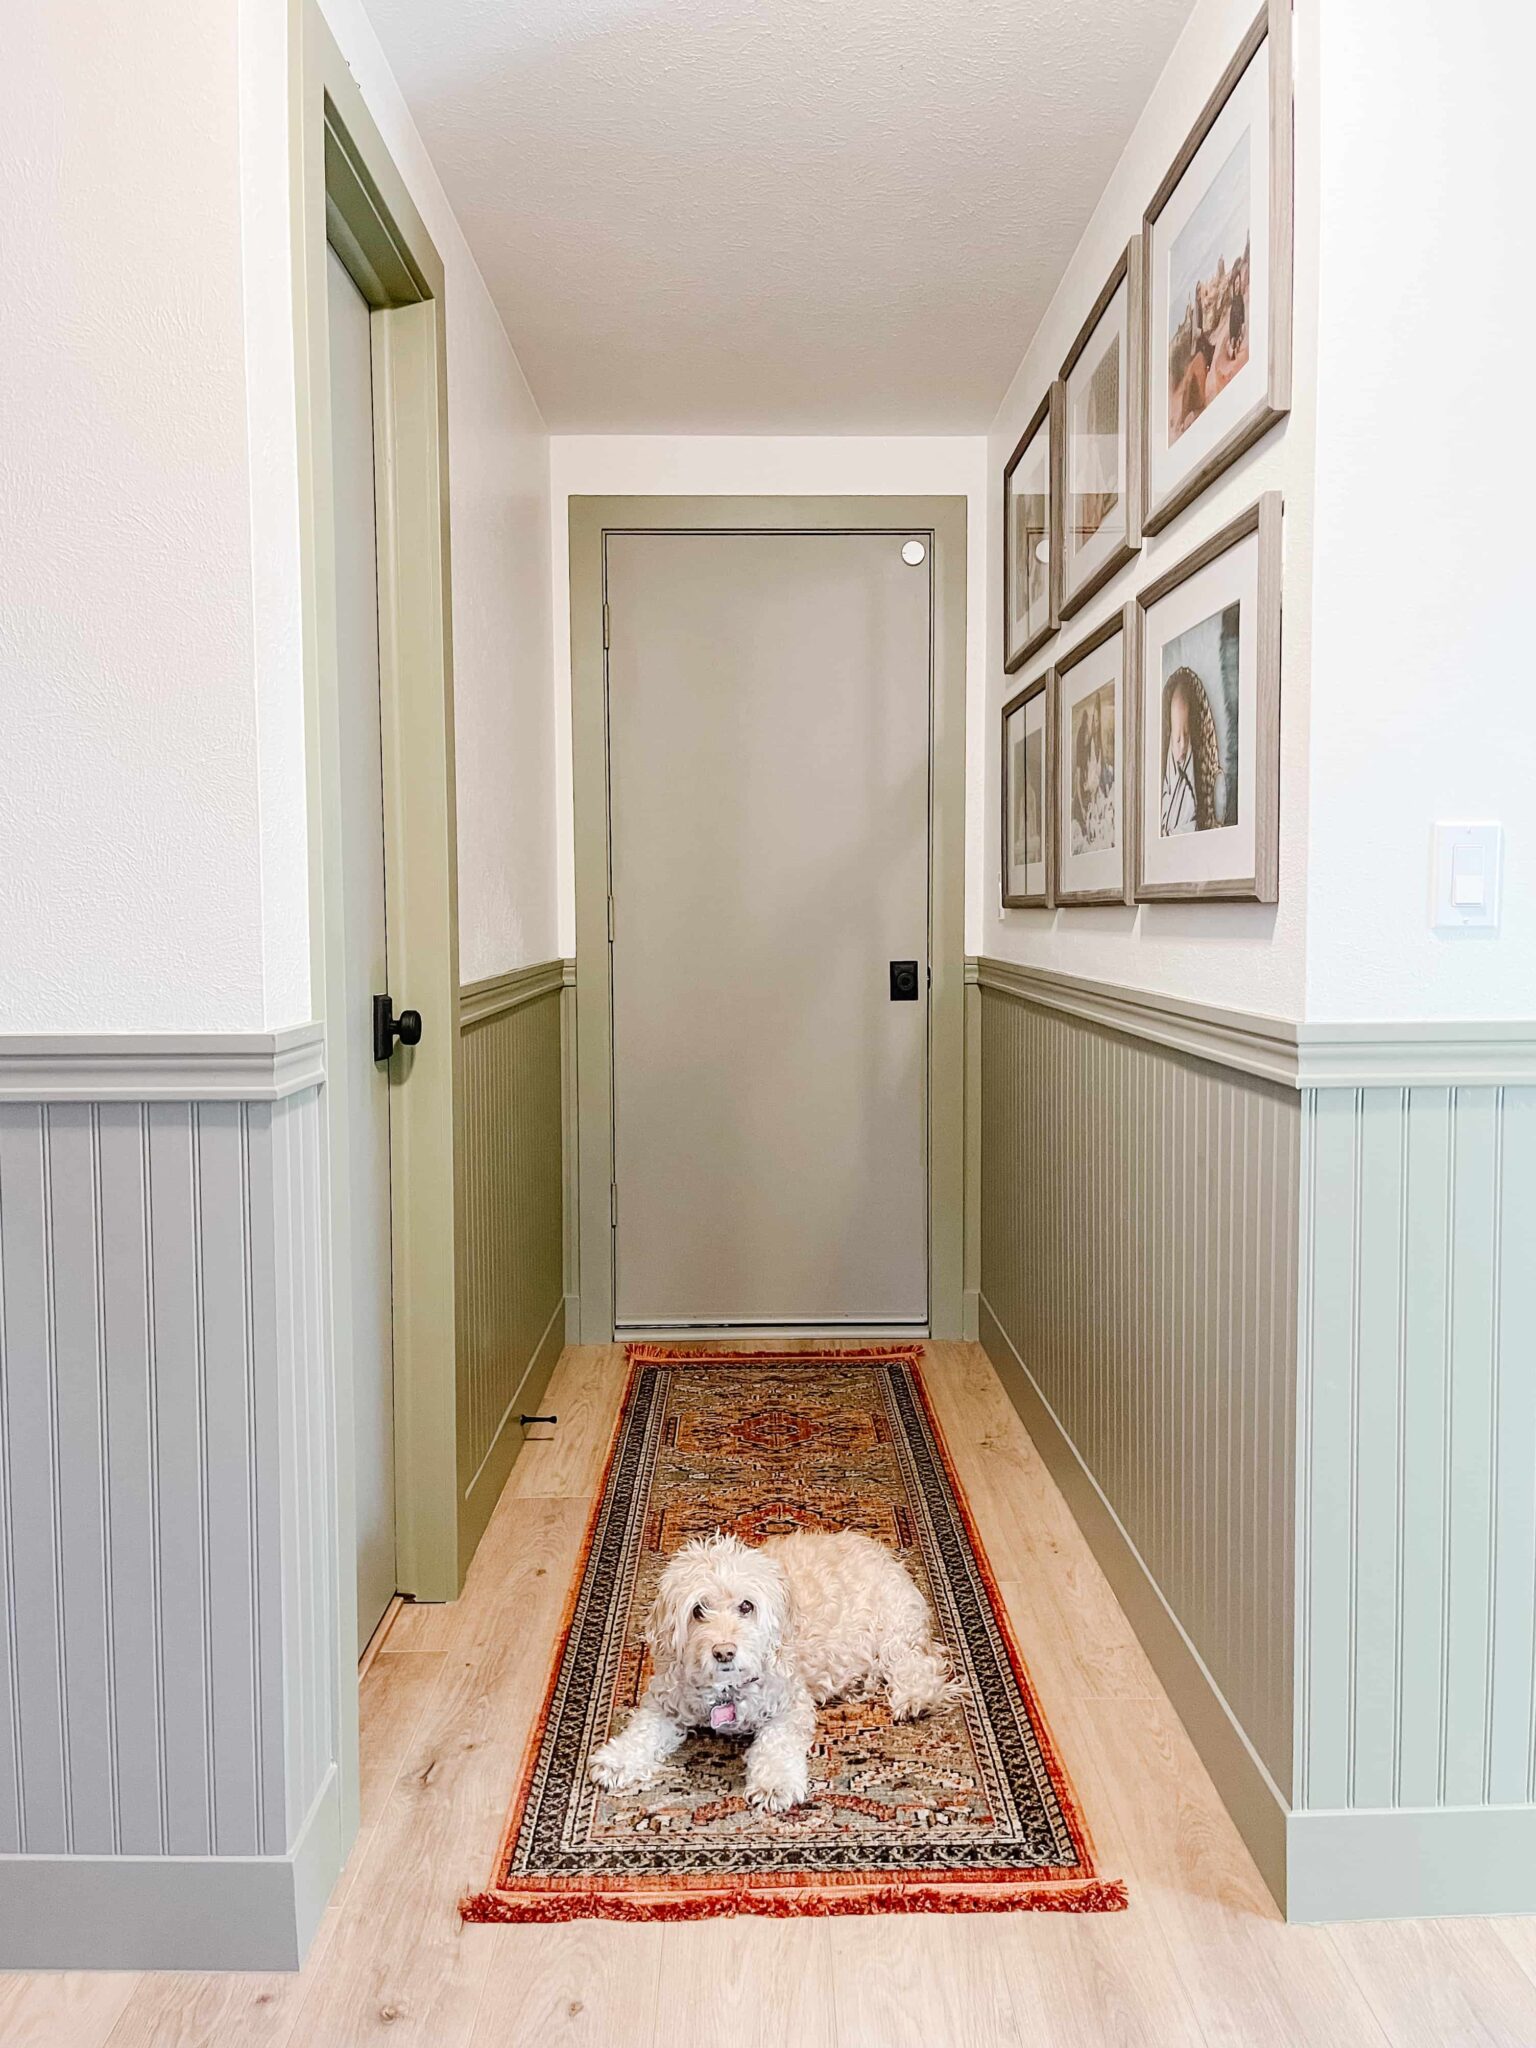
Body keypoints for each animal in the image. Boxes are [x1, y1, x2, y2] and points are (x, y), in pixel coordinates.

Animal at [585, 1540, 958, 1810]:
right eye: (698, 1610)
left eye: (746, 1606)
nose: (724, 1651)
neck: (727, 1689)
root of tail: (879, 1549)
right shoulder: (668, 1701)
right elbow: (642, 1731)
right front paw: (618, 1760)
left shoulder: (789, 1706)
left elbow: (776, 1744)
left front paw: (774, 1784)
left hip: (895, 1629)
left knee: (917, 1664)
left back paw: (916, 1699)